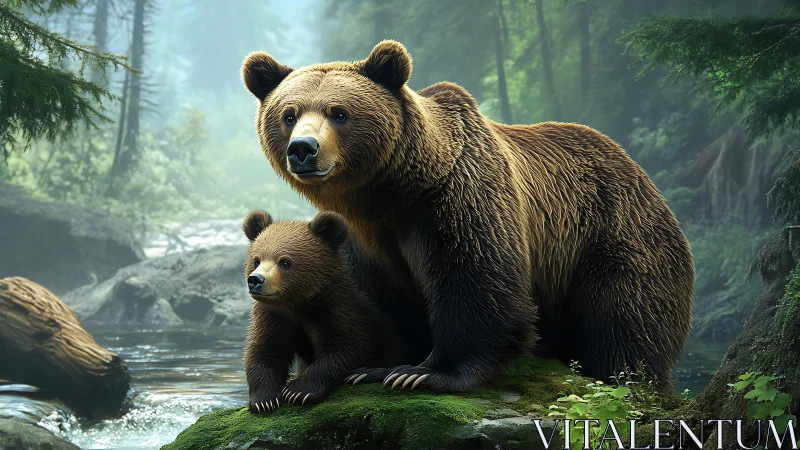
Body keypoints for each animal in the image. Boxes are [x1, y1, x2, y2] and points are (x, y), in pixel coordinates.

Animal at [242, 209, 416, 413]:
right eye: (256, 260)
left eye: (284, 262)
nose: (256, 280)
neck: (299, 304)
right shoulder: (274, 316)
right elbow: (265, 350)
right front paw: (264, 400)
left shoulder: (338, 311)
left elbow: (344, 349)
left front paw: (298, 391)